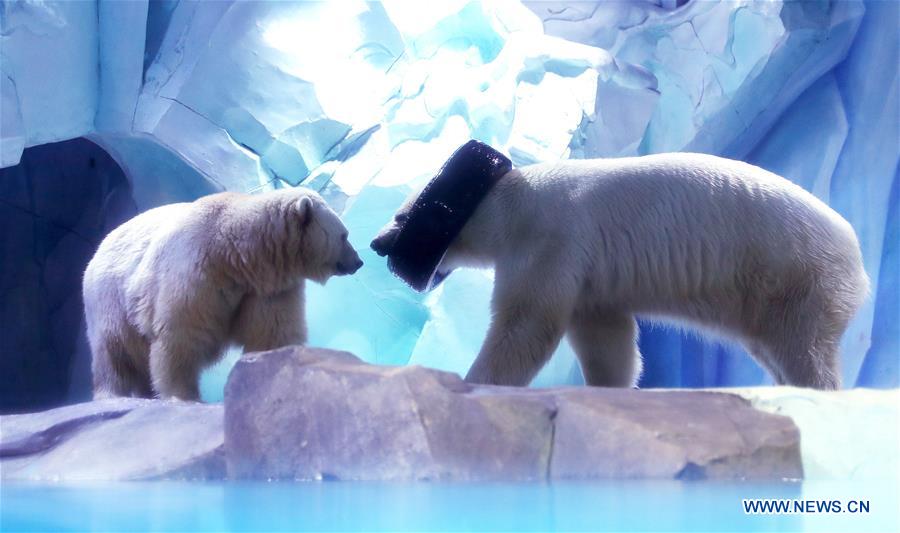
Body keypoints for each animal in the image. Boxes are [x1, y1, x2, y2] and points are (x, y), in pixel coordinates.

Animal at [83, 187, 362, 401]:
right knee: (114, 351)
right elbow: (180, 335)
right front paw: (184, 396)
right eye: (344, 235)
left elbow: (273, 334)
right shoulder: (195, 273)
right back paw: (111, 393)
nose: (358, 262)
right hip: (110, 298)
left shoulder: (268, 289)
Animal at [372, 152, 869, 390]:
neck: (515, 204)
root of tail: (859, 263)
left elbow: (527, 324)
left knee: (802, 348)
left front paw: (477, 381)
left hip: (796, 277)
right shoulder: (591, 275)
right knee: (772, 345)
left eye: (401, 215)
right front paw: (609, 385)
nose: (377, 243)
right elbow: (605, 336)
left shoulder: (552, 238)